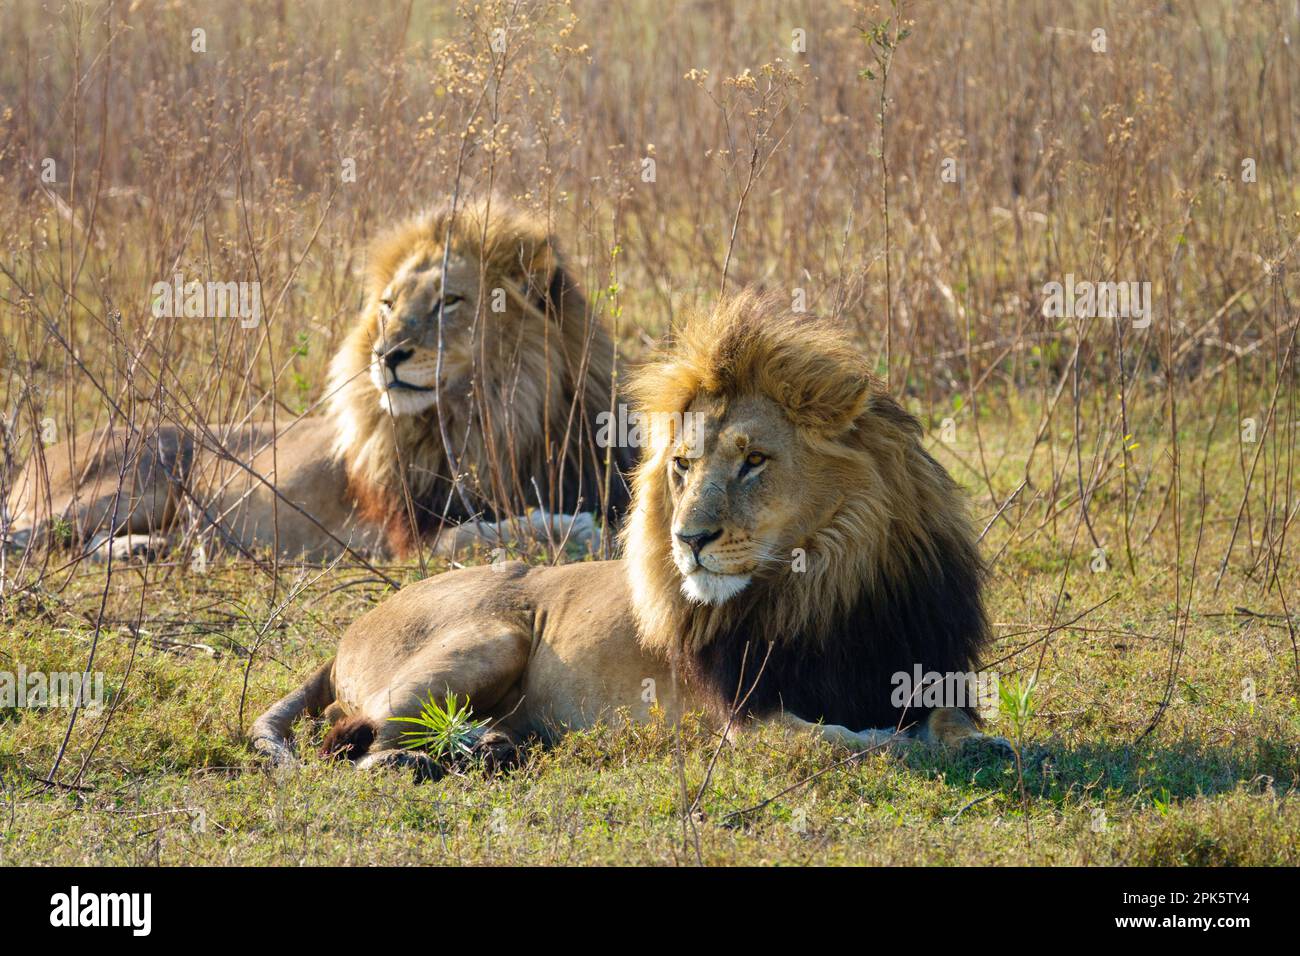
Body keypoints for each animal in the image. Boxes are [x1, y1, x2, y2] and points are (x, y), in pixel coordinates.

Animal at [253, 287, 1003, 775]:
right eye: (682, 464)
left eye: (754, 461)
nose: (688, 540)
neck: (824, 585)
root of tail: (347, 631)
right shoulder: (746, 720)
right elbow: (836, 740)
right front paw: (898, 745)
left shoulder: (929, 670)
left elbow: (954, 721)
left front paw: (980, 744)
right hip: (490, 636)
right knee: (366, 751)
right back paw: (473, 753)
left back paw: (497, 746)